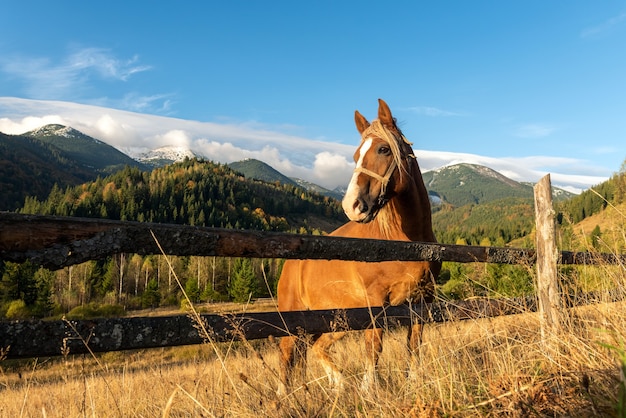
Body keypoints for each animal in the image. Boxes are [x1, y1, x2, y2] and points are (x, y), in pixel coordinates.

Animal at [272, 99, 438, 394]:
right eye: (355, 155)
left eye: (383, 149)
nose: (352, 205)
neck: (405, 242)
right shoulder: (375, 300)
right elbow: (374, 345)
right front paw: (369, 388)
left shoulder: (422, 299)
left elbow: (414, 344)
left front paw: (414, 382)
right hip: (295, 317)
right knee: (287, 353)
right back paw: (284, 394)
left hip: (336, 319)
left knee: (316, 347)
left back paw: (337, 382)